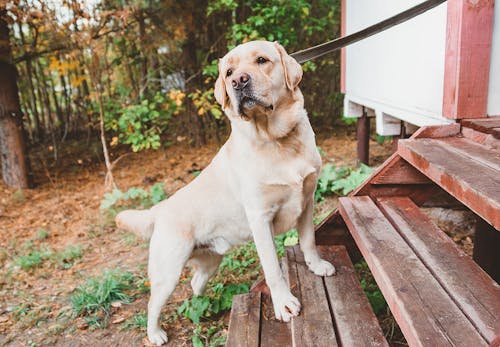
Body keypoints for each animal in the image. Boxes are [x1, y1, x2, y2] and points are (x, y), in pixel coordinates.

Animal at [116, 40, 336, 346]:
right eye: (228, 72)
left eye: (262, 60)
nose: (238, 81)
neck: (278, 141)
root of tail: (160, 208)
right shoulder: (260, 219)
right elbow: (273, 269)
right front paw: (283, 303)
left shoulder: (306, 201)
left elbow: (309, 242)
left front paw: (317, 266)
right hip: (167, 271)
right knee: (152, 304)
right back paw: (155, 333)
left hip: (210, 260)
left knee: (195, 282)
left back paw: (205, 303)